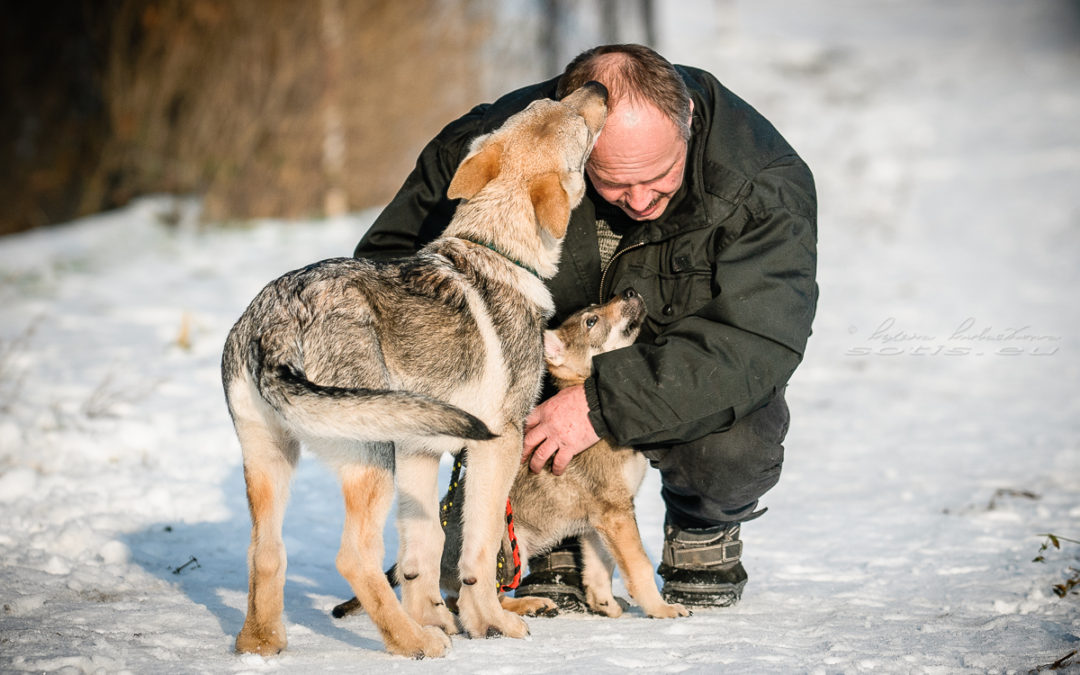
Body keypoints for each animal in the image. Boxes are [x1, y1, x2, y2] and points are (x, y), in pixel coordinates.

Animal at [219, 81, 609, 656]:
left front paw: (443, 617)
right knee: (353, 558)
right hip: (372, 458)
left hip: (272, 461)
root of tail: (275, 320)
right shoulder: (498, 443)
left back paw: (261, 645)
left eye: (547, 107)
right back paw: (413, 642)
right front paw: (488, 623)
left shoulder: (421, 453)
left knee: (265, 552)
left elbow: (425, 551)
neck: (497, 250)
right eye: (577, 126)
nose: (597, 87)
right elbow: (480, 548)